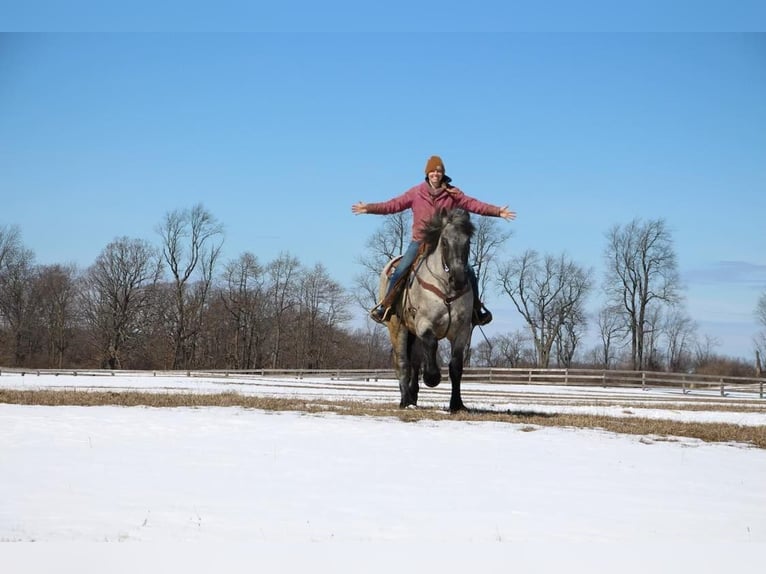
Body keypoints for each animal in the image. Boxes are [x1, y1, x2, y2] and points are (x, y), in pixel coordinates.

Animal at [378, 209, 474, 412]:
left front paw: (457, 404)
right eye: (444, 241)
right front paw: (432, 378)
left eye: (468, 242)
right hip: (398, 328)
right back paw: (406, 400)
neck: (446, 289)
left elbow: (456, 367)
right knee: (403, 363)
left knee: (413, 363)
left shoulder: (462, 331)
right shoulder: (424, 325)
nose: (458, 279)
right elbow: (430, 346)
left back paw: (413, 397)